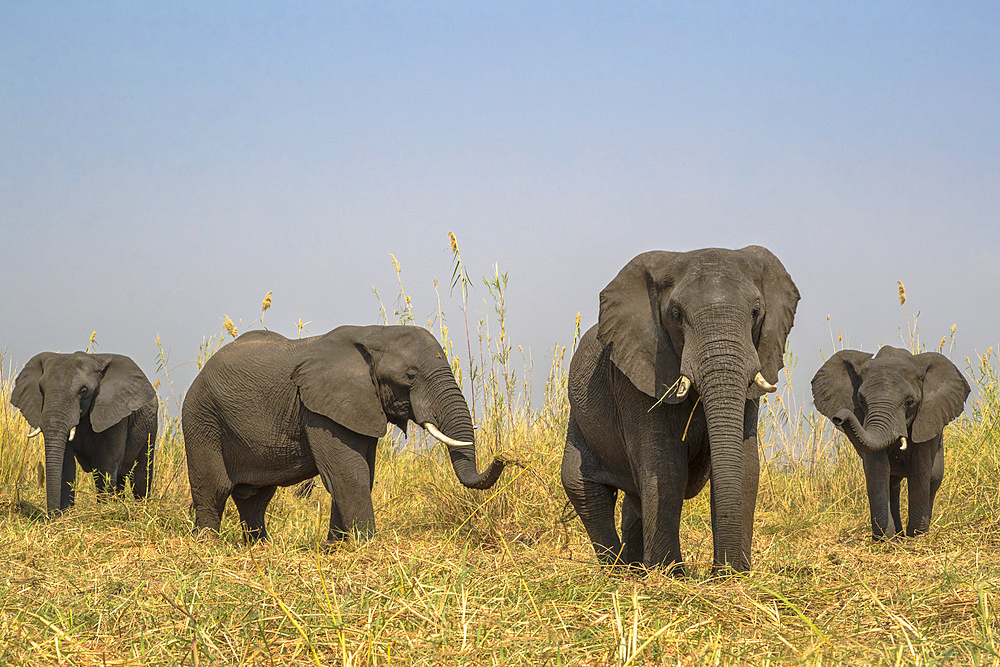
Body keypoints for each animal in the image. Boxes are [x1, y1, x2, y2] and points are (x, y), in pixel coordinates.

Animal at [10, 352, 158, 516]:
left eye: (84, 390)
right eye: (41, 389)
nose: (51, 515)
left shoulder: (115, 414)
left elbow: (105, 462)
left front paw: (103, 511)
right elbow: (66, 464)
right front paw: (65, 515)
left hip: (150, 428)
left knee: (140, 478)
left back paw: (142, 510)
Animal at [180, 324, 504, 544]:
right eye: (411, 375)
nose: (502, 458)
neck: (374, 334)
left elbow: (359, 473)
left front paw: (335, 547)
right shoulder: (319, 408)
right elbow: (348, 473)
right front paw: (367, 545)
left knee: (256, 497)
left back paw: (260, 546)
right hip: (201, 417)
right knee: (215, 488)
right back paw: (207, 545)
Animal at [564, 247, 796, 576]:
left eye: (755, 312)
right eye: (676, 314)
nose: (720, 571)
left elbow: (746, 464)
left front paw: (734, 574)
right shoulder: (635, 374)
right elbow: (665, 465)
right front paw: (669, 574)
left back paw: (637, 568)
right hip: (578, 420)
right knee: (584, 489)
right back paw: (620, 571)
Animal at [812, 348, 968, 540]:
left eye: (909, 402)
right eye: (861, 400)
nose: (839, 418)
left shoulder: (926, 419)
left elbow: (919, 469)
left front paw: (915, 536)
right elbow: (877, 468)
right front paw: (885, 539)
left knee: (934, 477)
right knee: (892, 483)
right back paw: (898, 535)